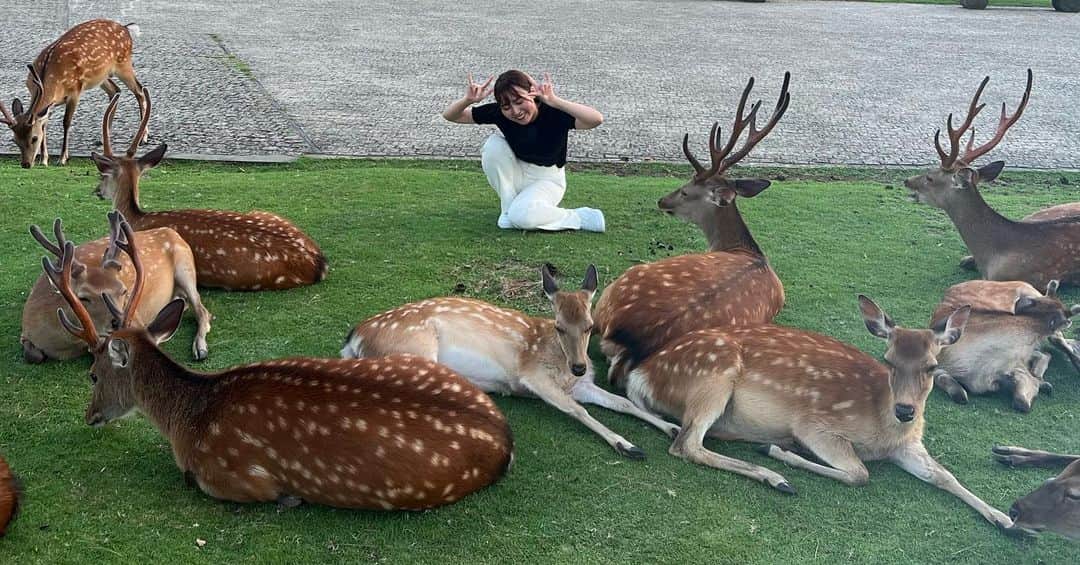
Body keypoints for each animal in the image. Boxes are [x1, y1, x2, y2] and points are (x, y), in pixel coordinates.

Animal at [0, 19, 147, 168]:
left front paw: (62, 158)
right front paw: (44, 159)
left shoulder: (75, 91)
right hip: (101, 76)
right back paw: (103, 138)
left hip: (123, 64)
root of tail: (126, 28)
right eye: (15, 140)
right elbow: (44, 124)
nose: (26, 164)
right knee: (116, 90)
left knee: (140, 90)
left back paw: (143, 137)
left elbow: (66, 122)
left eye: (34, 138)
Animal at [21, 213, 211, 363]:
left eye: (124, 291)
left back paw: (200, 348)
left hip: (185, 266)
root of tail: (172, 231)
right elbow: (34, 355)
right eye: (83, 297)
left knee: (202, 310)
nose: (118, 323)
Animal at [44, 215, 513, 510]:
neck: (188, 421)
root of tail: (504, 438)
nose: (90, 416)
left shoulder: (233, 477)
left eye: (92, 374)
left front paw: (291, 497)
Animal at [341, 264, 680, 459]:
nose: (580, 367)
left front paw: (672, 427)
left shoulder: (581, 386)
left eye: (590, 325)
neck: (559, 362)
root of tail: (353, 338)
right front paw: (628, 446)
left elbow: (623, 403)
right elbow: (578, 411)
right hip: (416, 350)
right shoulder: (533, 376)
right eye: (559, 326)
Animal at [621, 295, 1013, 530]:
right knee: (687, 443)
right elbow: (859, 474)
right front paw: (782, 452)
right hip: (713, 376)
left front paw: (1005, 519)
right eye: (888, 360)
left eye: (932, 367)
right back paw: (774, 473)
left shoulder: (907, 445)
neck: (882, 429)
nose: (906, 410)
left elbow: (944, 476)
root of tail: (643, 375)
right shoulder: (814, 423)